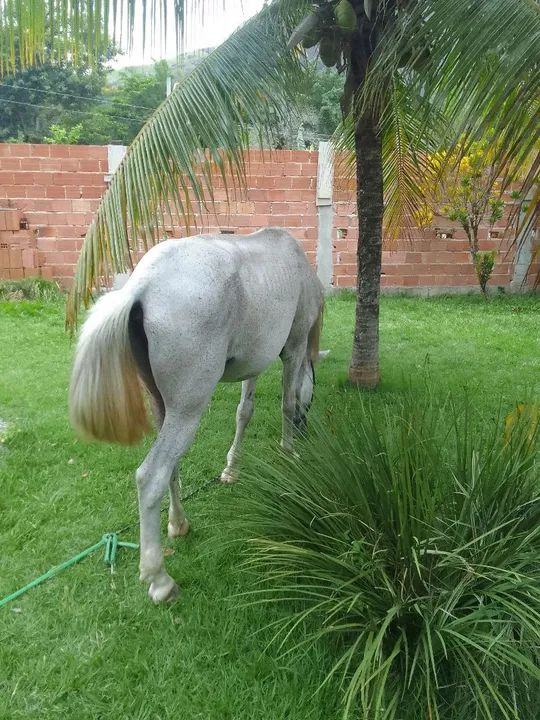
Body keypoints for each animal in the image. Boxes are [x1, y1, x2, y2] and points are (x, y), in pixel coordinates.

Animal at [69, 228, 324, 603]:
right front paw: (289, 453)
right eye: (314, 391)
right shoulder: (293, 349)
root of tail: (140, 288)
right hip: (187, 412)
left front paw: (231, 469)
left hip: (165, 409)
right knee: (151, 477)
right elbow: (287, 403)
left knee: (171, 467)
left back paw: (178, 523)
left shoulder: (254, 364)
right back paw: (159, 579)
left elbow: (244, 412)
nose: (306, 432)